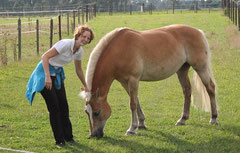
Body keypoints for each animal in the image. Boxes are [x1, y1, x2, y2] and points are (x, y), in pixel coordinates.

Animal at [80, 24, 218, 138]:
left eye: (97, 112)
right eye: (86, 112)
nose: (93, 135)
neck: (119, 50)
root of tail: (198, 31)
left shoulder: (133, 80)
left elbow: (132, 104)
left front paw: (131, 129)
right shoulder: (124, 82)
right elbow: (136, 101)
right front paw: (141, 124)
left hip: (201, 67)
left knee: (210, 88)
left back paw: (214, 119)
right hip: (182, 70)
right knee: (187, 91)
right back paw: (182, 119)